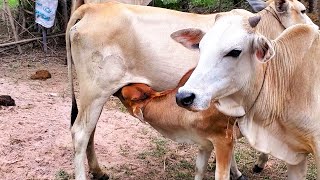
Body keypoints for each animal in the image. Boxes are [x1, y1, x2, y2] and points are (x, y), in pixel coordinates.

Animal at [65, 0, 316, 179]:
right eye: (303, 10)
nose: (316, 29)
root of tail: (92, 8)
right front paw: (255, 164)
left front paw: (235, 170)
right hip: (95, 91)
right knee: (80, 133)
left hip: (96, 95)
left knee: (90, 131)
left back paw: (99, 172)